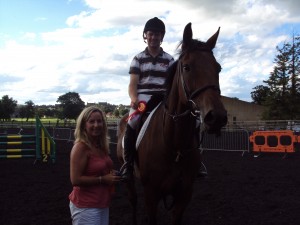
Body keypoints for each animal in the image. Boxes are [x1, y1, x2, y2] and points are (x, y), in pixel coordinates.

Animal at [117, 22, 227, 225]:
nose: (216, 117)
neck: (175, 144)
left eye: (218, 68)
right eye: (186, 67)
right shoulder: (151, 194)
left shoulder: (184, 194)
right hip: (129, 179)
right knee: (133, 200)